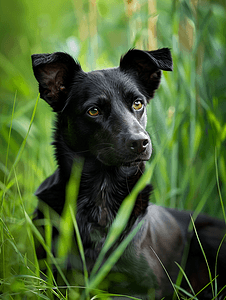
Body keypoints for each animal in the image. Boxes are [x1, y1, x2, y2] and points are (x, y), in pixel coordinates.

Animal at [32, 48, 226, 298]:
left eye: (137, 103)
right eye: (93, 111)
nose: (140, 142)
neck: (102, 196)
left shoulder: (147, 287)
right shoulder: (55, 280)